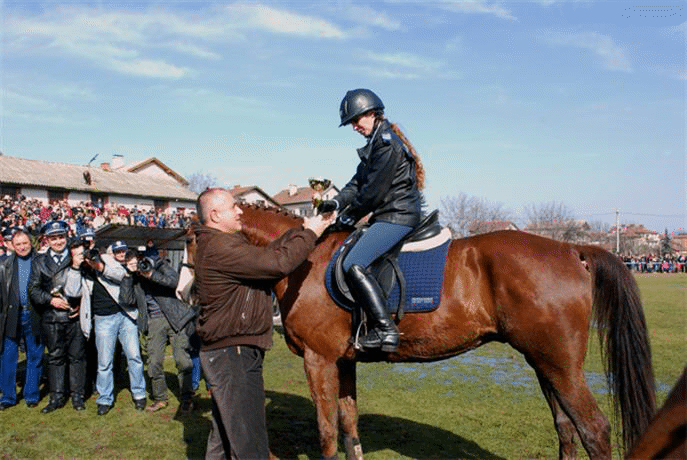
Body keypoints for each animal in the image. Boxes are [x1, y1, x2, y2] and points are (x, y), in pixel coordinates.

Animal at [224, 206, 656, 460]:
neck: (306, 260)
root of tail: (571, 250)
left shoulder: (320, 360)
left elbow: (328, 432)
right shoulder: (343, 362)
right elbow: (349, 426)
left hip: (561, 366)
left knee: (594, 430)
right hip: (545, 364)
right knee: (567, 429)